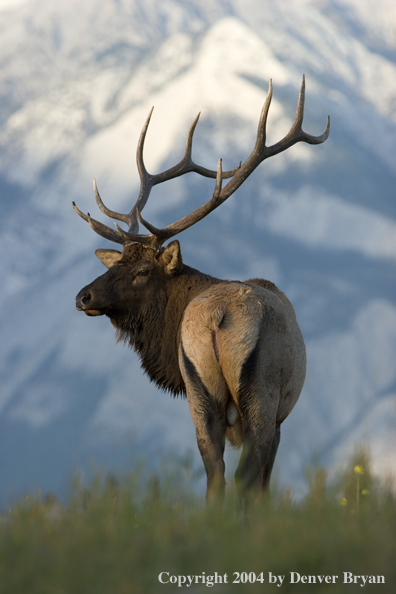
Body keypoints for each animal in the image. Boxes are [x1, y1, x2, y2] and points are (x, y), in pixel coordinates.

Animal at [75, 76, 332, 502]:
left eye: (142, 270)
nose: (83, 296)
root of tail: (218, 316)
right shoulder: (281, 417)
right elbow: (262, 488)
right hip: (262, 397)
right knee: (244, 477)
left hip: (201, 395)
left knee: (215, 475)